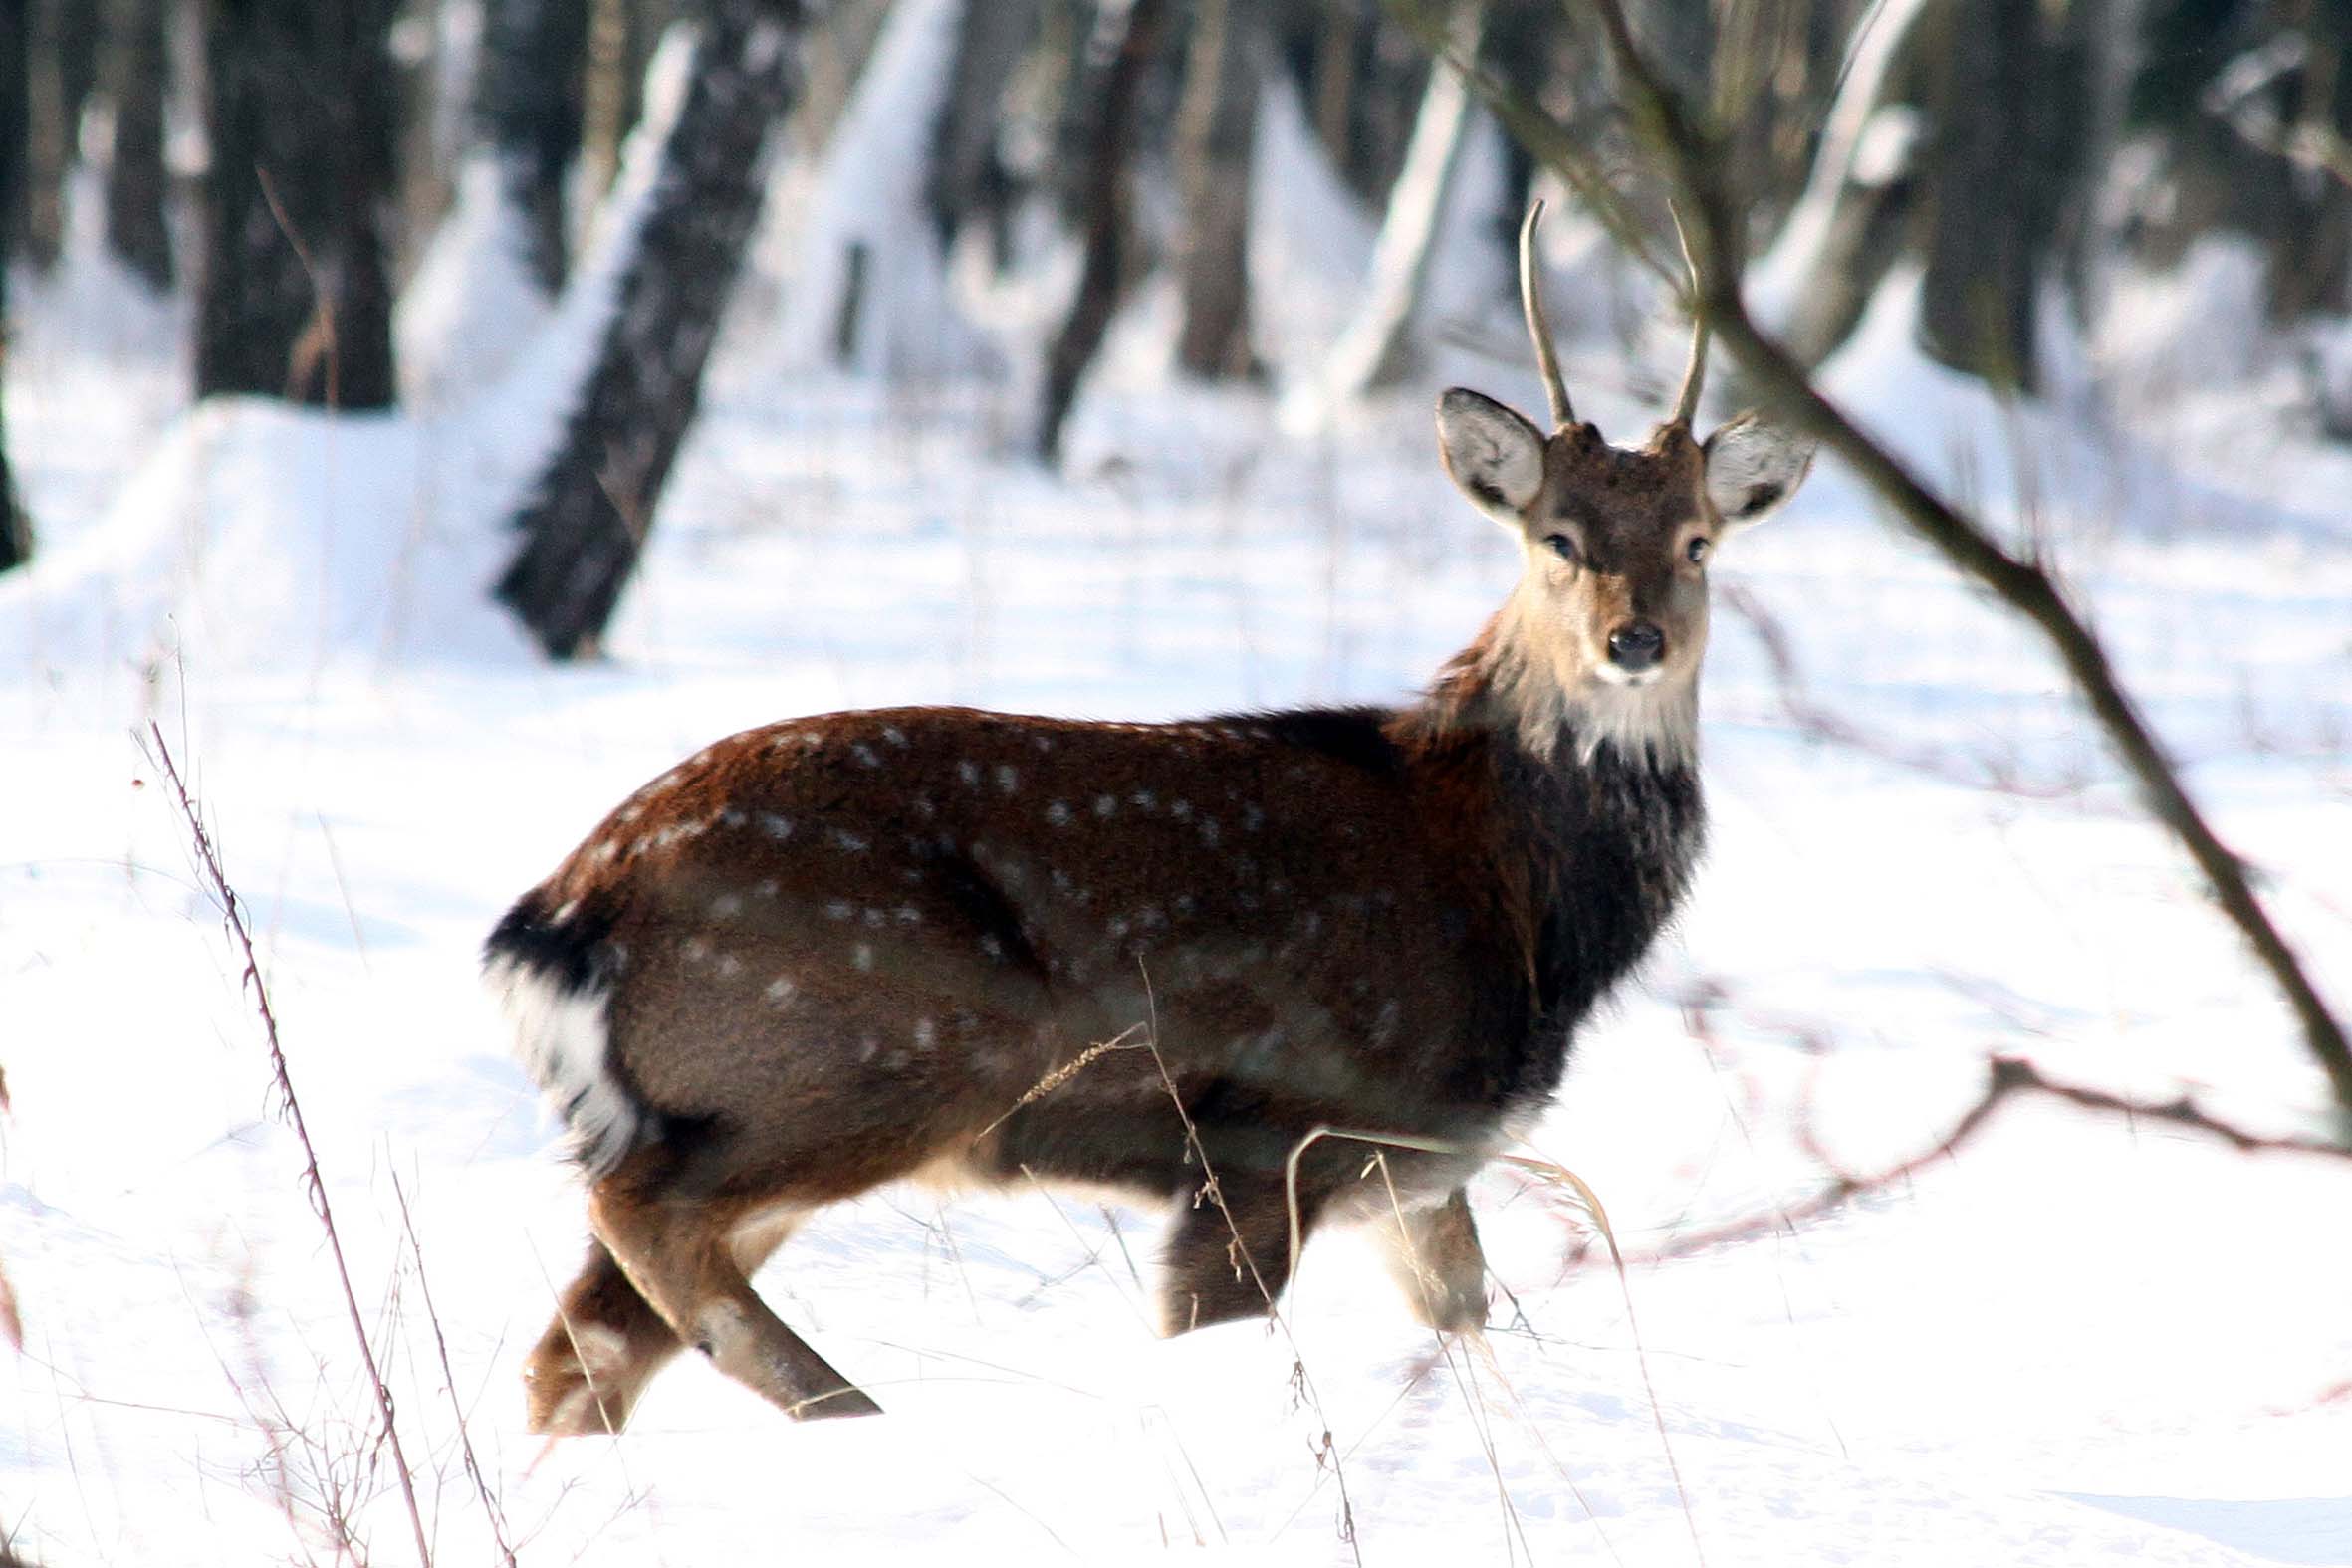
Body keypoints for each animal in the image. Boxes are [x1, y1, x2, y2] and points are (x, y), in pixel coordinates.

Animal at [491, 207, 1815, 1439]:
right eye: (1558, 540)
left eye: (1697, 543)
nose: (1634, 639)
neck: (1516, 903)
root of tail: (559, 918)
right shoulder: (1270, 1128)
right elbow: (1225, 1327)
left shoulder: (1419, 1167)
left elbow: (1472, 1322)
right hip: (891, 1040)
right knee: (643, 1229)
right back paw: (854, 1412)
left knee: (578, 1349)